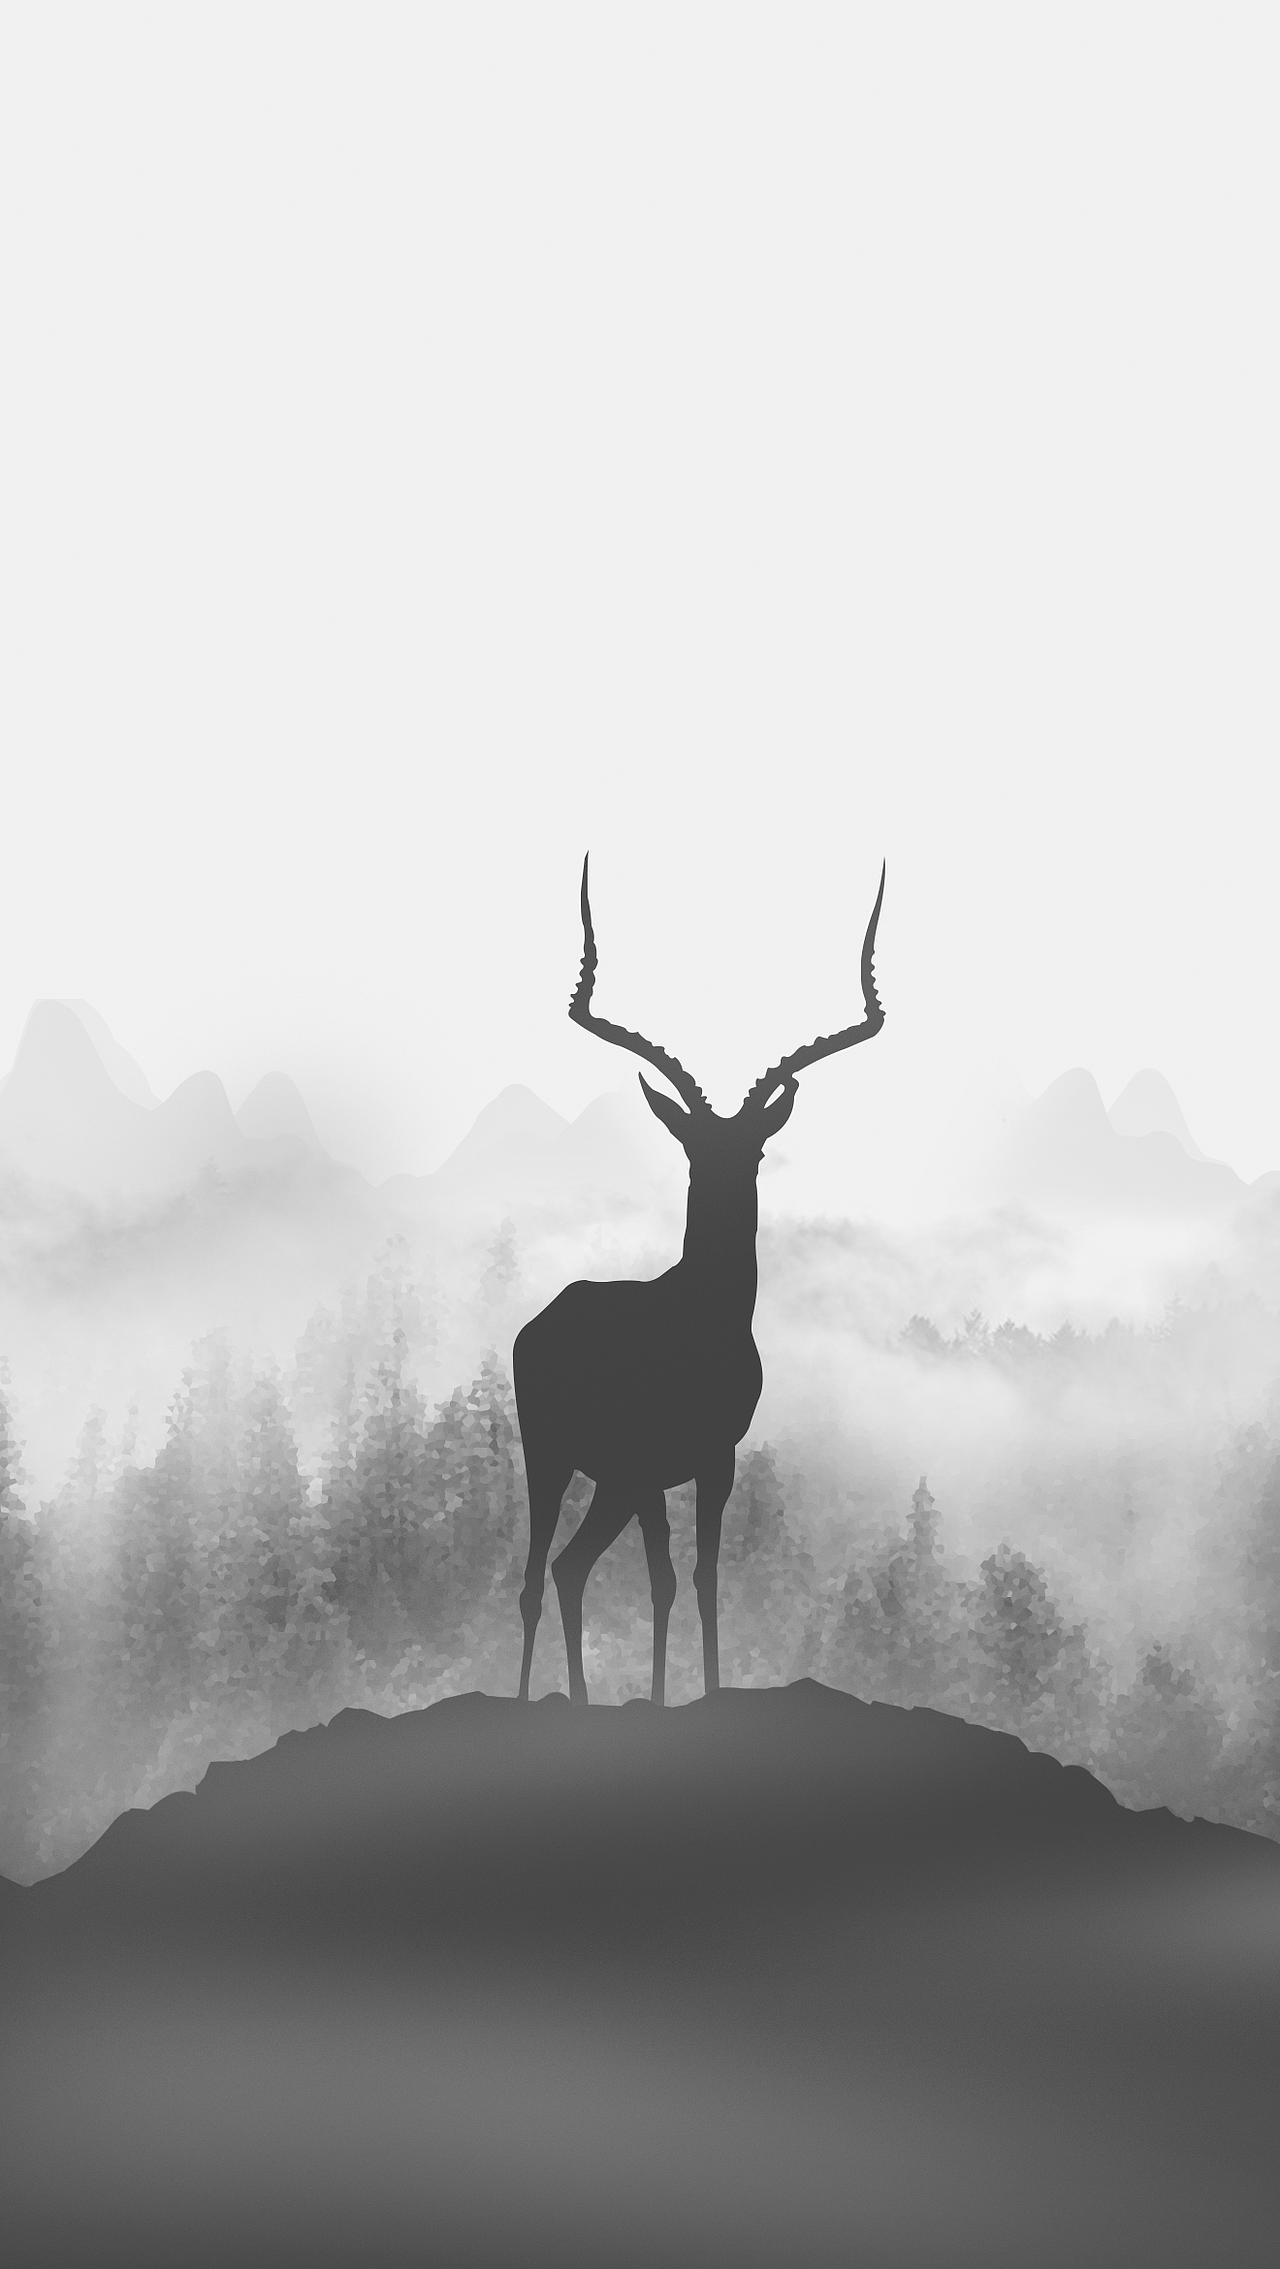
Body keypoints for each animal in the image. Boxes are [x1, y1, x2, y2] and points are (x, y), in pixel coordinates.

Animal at [513, 854, 886, 1706]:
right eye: (692, 1149)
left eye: (755, 1150)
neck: (699, 1322)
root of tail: (537, 1323)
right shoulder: (653, 1465)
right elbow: (661, 1580)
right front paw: (657, 1698)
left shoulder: (716, 1460)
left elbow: (706, 1577)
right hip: (551, 1458)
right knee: (533, 1576)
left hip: (611, 1482)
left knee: (569, 1568)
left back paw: (582, 1698)